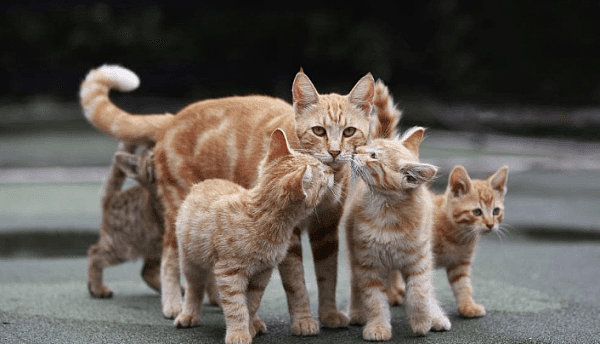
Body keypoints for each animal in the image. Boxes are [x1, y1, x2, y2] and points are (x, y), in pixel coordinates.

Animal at [85, 142, 163, 298]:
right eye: (151, 156)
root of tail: (112, 198)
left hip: (154, 249)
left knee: (147, 273)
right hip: (120, 248)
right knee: (94, 254)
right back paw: (97, 288)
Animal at [173, 129, 336, 344]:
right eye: (322, 174)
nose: (332, 171)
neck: (260, 218)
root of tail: (206, 181)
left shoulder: (262, 273)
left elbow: (251, 303)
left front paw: (249, 325)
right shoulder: (229, 273)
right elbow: (236, 307)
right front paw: (239, 333)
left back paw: (255, 322)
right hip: (190, 261)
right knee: (195, 288)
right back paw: (188, 314)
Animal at [342, 127, 450, 340]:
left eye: (374, 156)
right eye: (368, 145)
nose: (355, 150)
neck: (387, 213)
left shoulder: (420, 261)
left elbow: (419, 292)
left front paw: (422, 321)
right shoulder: (367, 264)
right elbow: (374, 300)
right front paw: (377, 327)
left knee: (428, 291)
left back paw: (436, 316)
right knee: (355, 284)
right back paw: (357, 312)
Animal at [384, 164, 506, 318]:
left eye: (496, 211)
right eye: (477, 212)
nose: (490, 225)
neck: (458, 237)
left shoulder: (460, 263)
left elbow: (463, 285)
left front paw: (467, 306)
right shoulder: (424, 259)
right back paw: (392, 294)